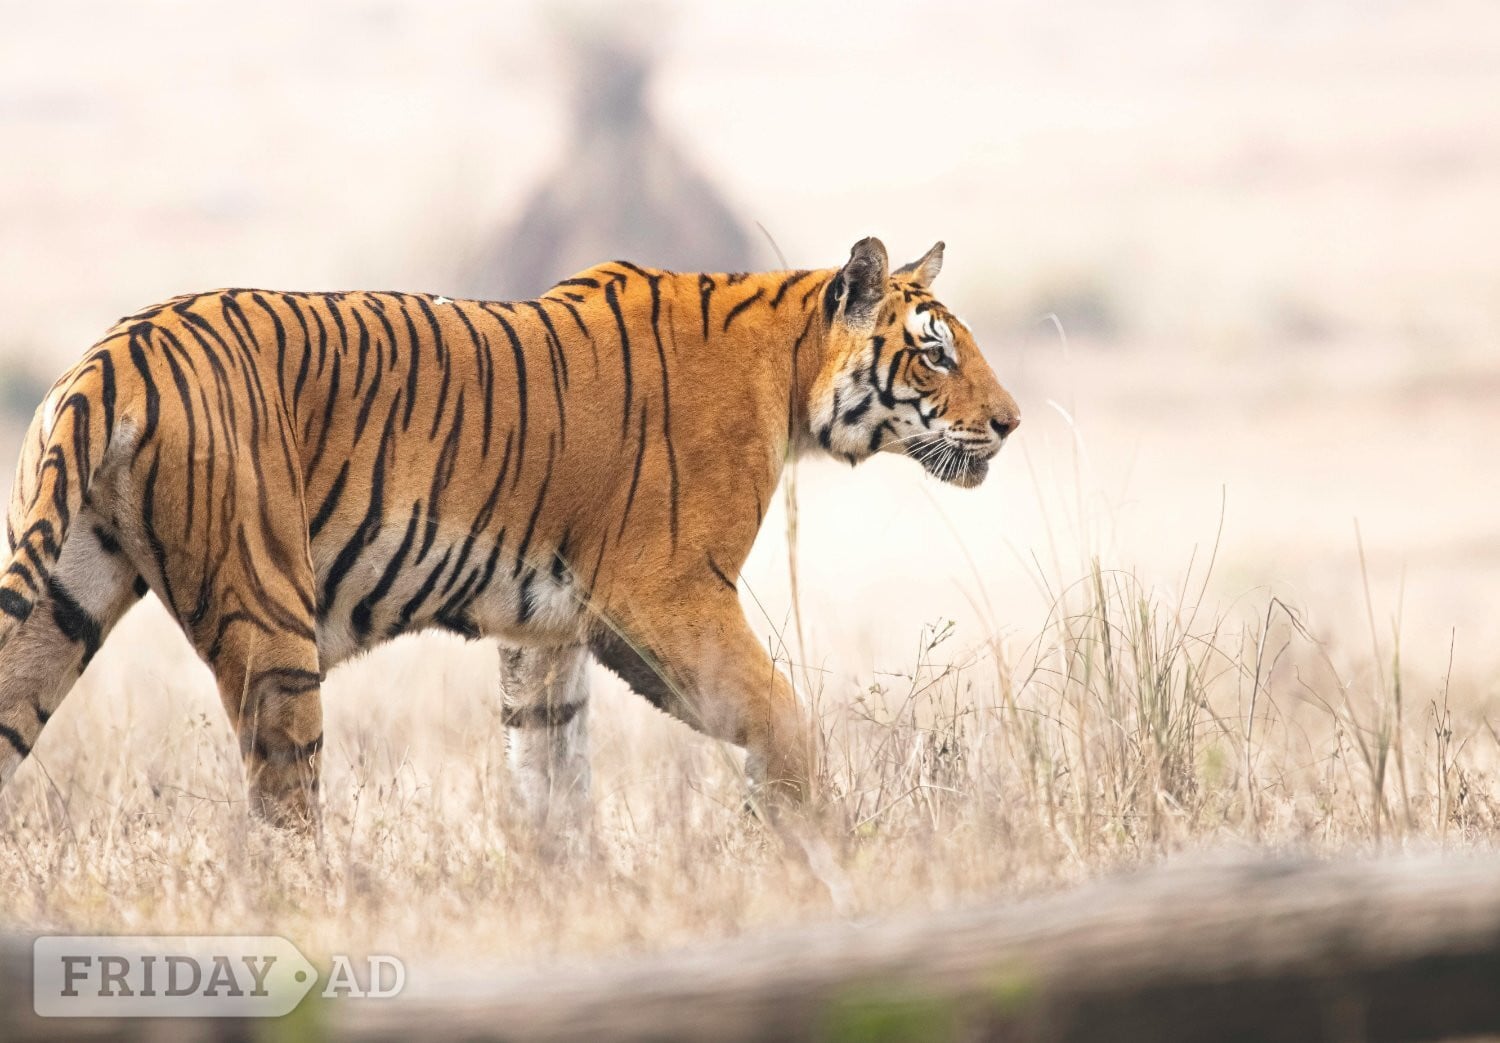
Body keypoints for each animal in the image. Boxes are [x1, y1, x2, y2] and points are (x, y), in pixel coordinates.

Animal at [0, 236, 1020, 830]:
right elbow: (780, 716)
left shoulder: (550, 627)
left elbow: (548, 772)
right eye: (935, 352)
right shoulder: (668, 594)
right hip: (271, 623)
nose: (1010, 423)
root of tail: (115, 352)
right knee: (283, 812)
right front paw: (806, 840)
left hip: (61, 599)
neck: (791, 374)